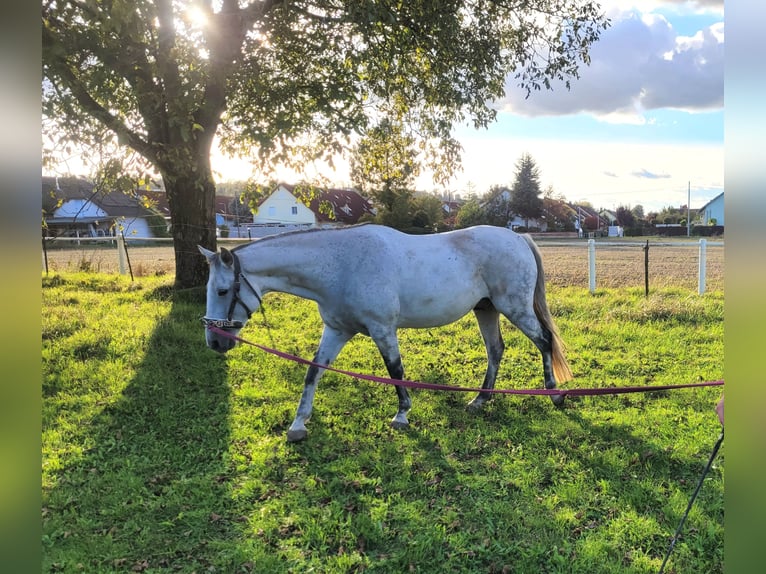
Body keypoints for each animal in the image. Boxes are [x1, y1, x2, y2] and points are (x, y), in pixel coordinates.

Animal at [201, 224, 572, 440]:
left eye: (222, 290)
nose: (215, 342)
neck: (342, 265)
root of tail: (517, 237)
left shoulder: (383, 329)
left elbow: (395, 371)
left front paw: (402, 415)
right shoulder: (336, 331)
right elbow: (313, 373)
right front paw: (298, 424)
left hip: (515, 307)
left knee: (544, 341)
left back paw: (554, 394)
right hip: (487, 309)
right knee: (495, 350)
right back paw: (480, 400)